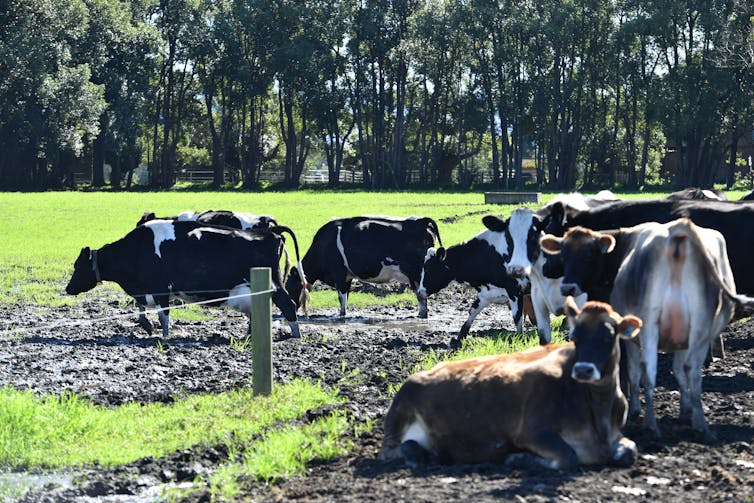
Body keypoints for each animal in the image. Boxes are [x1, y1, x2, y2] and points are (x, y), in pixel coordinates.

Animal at [66, 220, 306, 338]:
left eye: (77, 266)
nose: (68, 289)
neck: (137, 249)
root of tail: (271, 232)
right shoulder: (147, 289)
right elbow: (141, 307)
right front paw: (146, 326)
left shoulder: (160, 288)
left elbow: (163, 316)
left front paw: (163, 336)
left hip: (274, 284)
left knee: (288, 304)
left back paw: (295, 336)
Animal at [284, 217, 444, 318]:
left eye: (288, 285)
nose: (285, 311)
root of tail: (420, 222)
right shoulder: (347, 277)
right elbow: (345, 297)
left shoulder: (339, 273)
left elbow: (341, 297)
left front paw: (341, 315)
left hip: (416, 274)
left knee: (421, 297)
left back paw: (420, 315)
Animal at [378, 298, 636, 470]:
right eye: (575, 337)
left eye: (608, 336)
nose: (583, 369)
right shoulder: (532, 430)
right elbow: (568, 457)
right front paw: (517, 457)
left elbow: (631, 450)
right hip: (400, 414)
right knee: (391, 451)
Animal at [418, 215, 528, 344]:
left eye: (429, 269)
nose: (420, 292)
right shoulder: (487, 293)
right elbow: (472, 311)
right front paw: (460, 336)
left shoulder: (515, 291)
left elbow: (517, 317)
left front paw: (520, 338)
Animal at [540, 220, 752, 440]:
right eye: (564, 255)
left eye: (588, 254)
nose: (567, 288)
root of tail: (679, 229)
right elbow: (678, 370)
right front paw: (685, 409)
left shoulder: (627, 336)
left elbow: (631, 372)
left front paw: (632, 408)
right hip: (701, 327)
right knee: (691, 371)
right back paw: (700, 425)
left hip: (650, 325)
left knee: (648, 372)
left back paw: (651, 425)